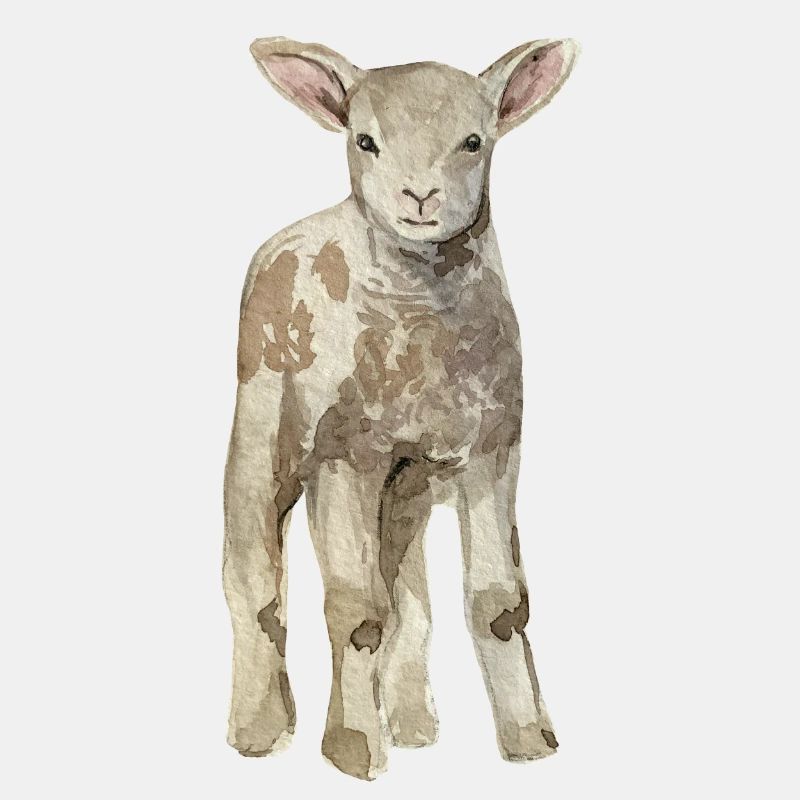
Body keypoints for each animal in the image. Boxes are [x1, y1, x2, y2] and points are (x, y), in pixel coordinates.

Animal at [223, 36, 578, 780]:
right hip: (263, 429)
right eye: (366, 140)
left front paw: (530, 740)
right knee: (254, 577)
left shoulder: (492, 448)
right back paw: (260, 729)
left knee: (407, 588)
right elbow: (355, 608)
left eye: (474, 140)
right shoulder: (347, 453)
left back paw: (414, 724)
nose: (420, 196)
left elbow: (499, 603)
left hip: (406, 486)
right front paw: (353, 751)